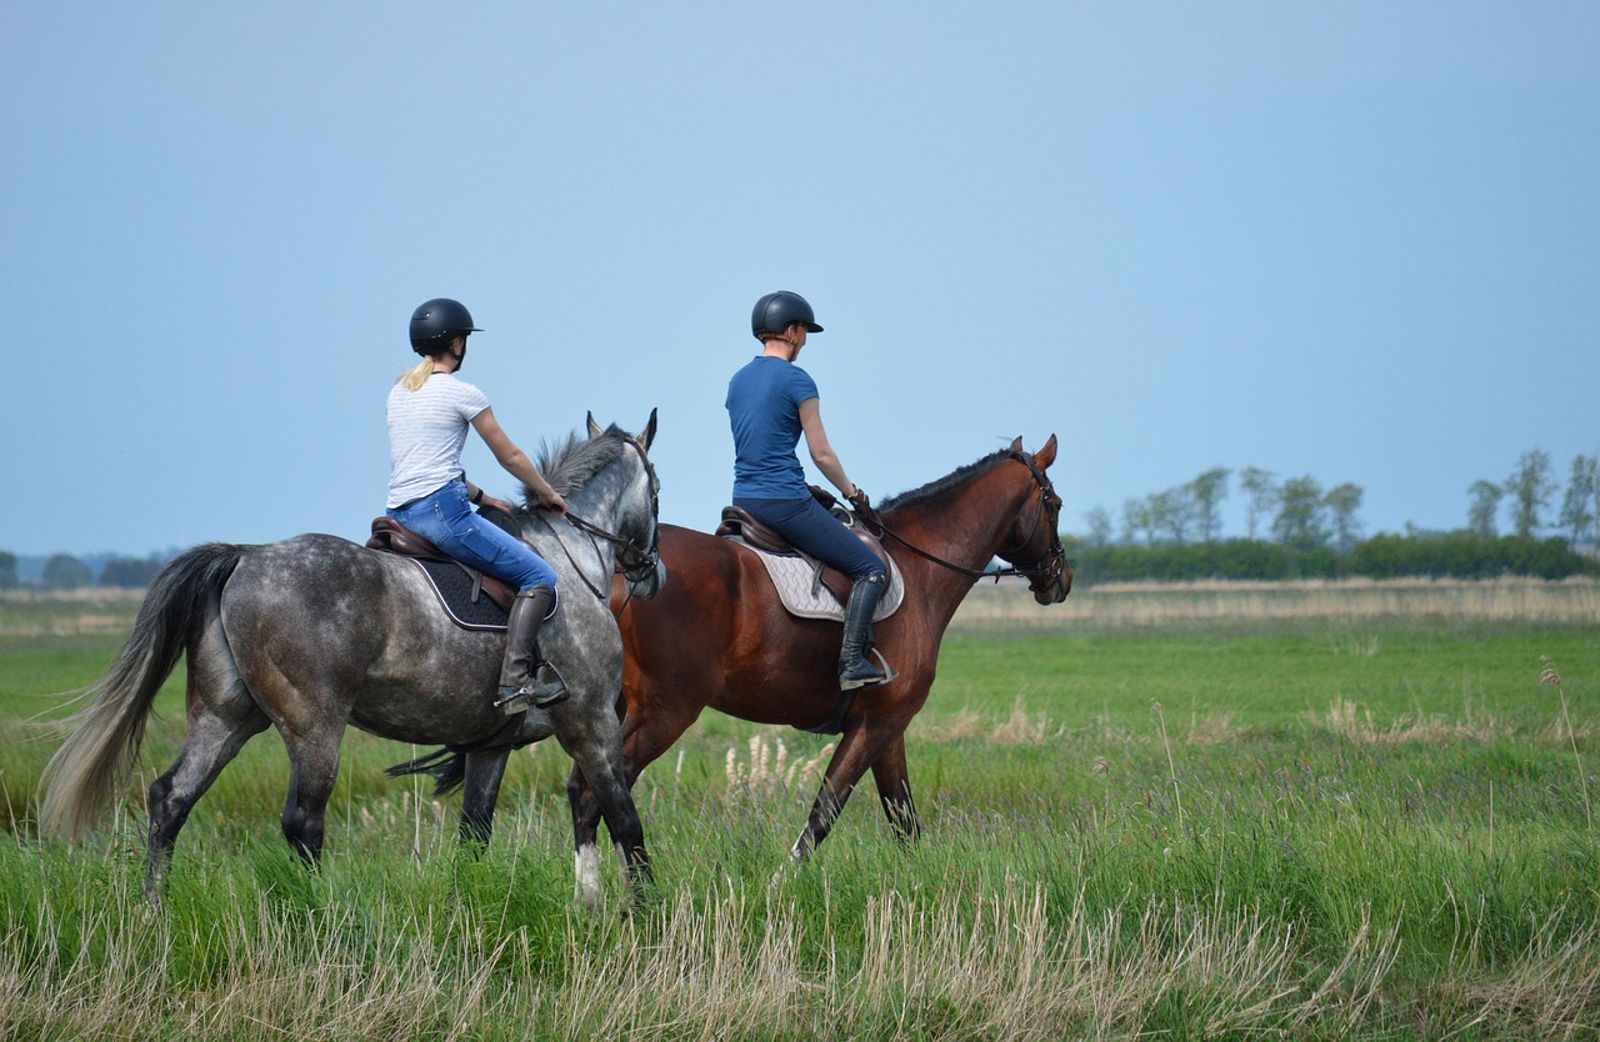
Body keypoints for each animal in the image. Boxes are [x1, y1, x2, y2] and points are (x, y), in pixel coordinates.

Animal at [39, 412, 664, 906]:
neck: (568, 557)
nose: (652, 573)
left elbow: (475, 836)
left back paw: (154, 909)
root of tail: (244, 557)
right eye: (658, 487)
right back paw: (324, 916)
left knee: (172, 798)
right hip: (314, 726)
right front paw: (646, 910)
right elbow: (623, 816)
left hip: (226, 717)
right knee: (302, 821)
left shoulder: (491, 746)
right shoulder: (590, 724)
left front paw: (468, 907)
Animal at [564, 435, 1068, 898]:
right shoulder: (876, 725)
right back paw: (639, 898)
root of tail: (621, 569)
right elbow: (827, 809)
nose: (1061, 579)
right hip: (665, 713)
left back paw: (590, 899)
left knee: (582, 792)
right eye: (1056, 504)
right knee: (600, 797)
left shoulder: (889, 729)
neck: (919, 569)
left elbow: (903, 819)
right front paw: (779, 886)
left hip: (612, 711)